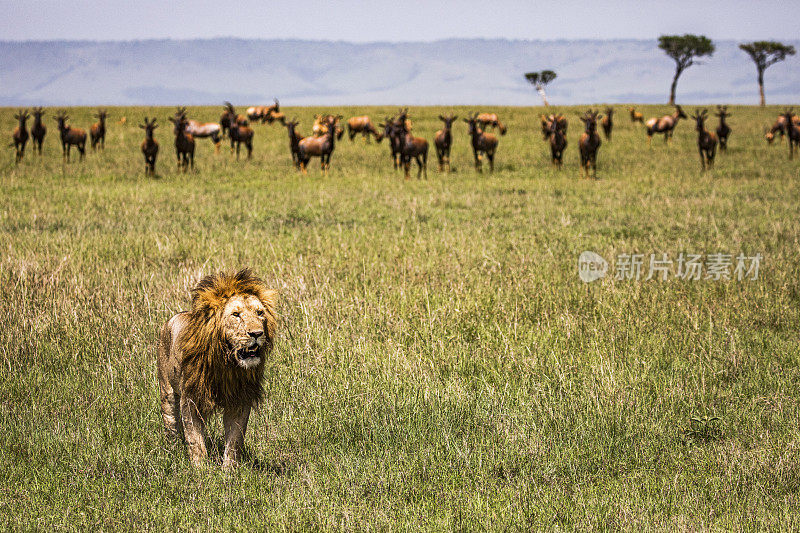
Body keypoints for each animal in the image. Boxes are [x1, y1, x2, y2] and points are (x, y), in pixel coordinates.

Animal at [158, 268, 280, 464]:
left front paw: (229, 469)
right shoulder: (191, 398)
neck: (227, 363)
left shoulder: (240, 399)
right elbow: (195, 440)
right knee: (171, 424)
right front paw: (200, 468)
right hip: (167, 391)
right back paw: (173, 452)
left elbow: (234, 441)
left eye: (260, 313)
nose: (257, 333)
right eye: (236, 314)